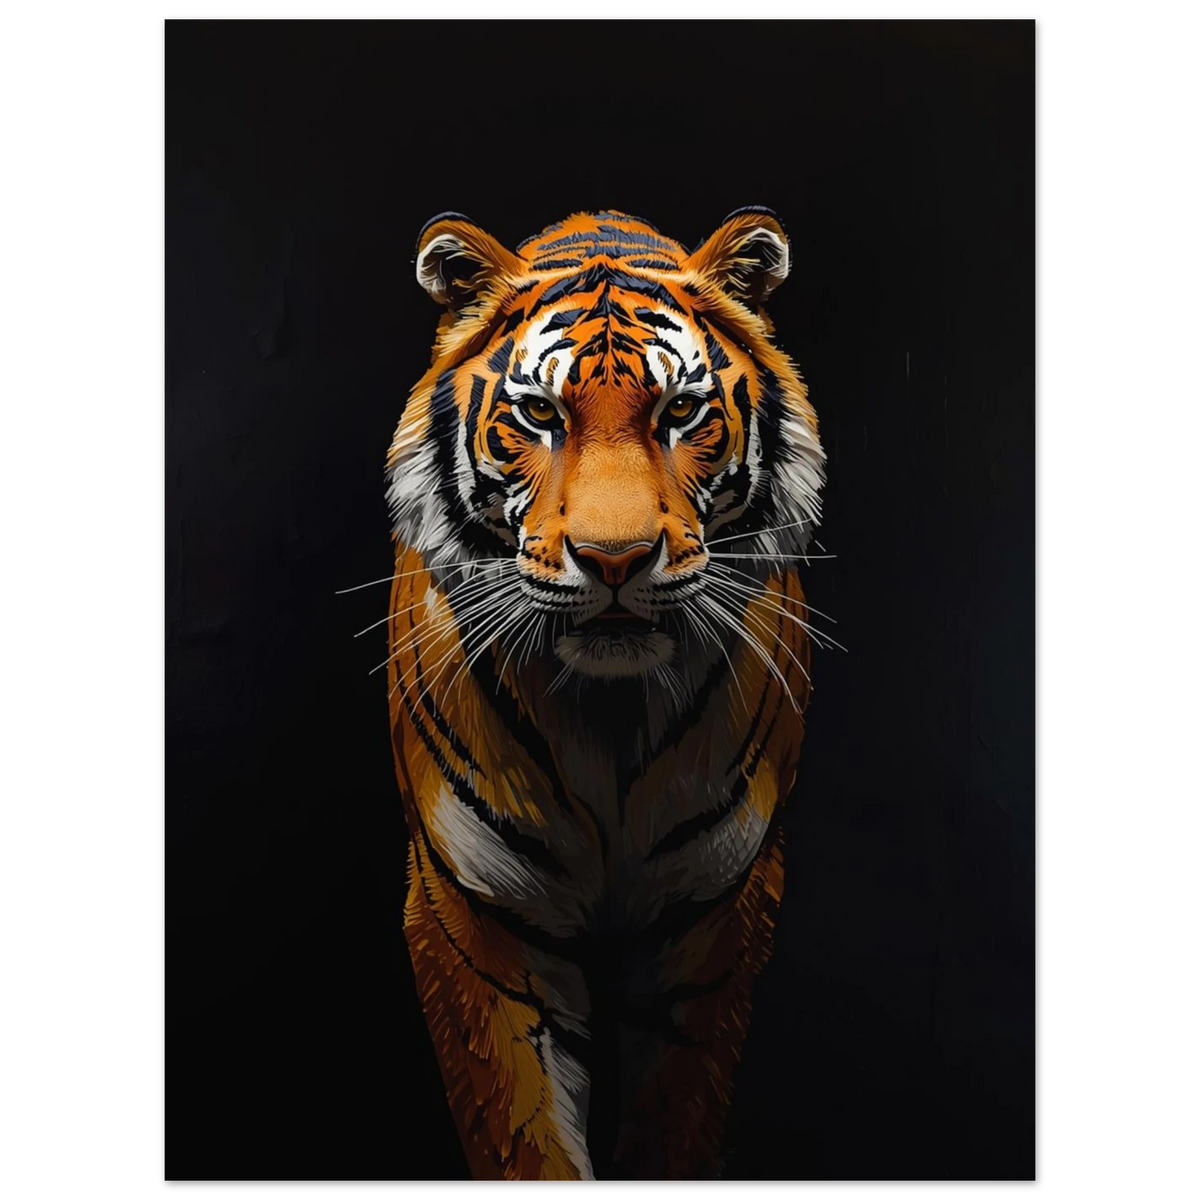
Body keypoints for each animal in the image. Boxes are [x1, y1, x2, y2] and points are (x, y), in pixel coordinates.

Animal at [382, 208, 827, 1181]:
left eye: (681, 411)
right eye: (540, 414)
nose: (615, 560)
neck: (609, 720)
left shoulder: (719, 917)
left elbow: (676, 1124)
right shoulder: (476, 914)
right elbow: (526, 1140)